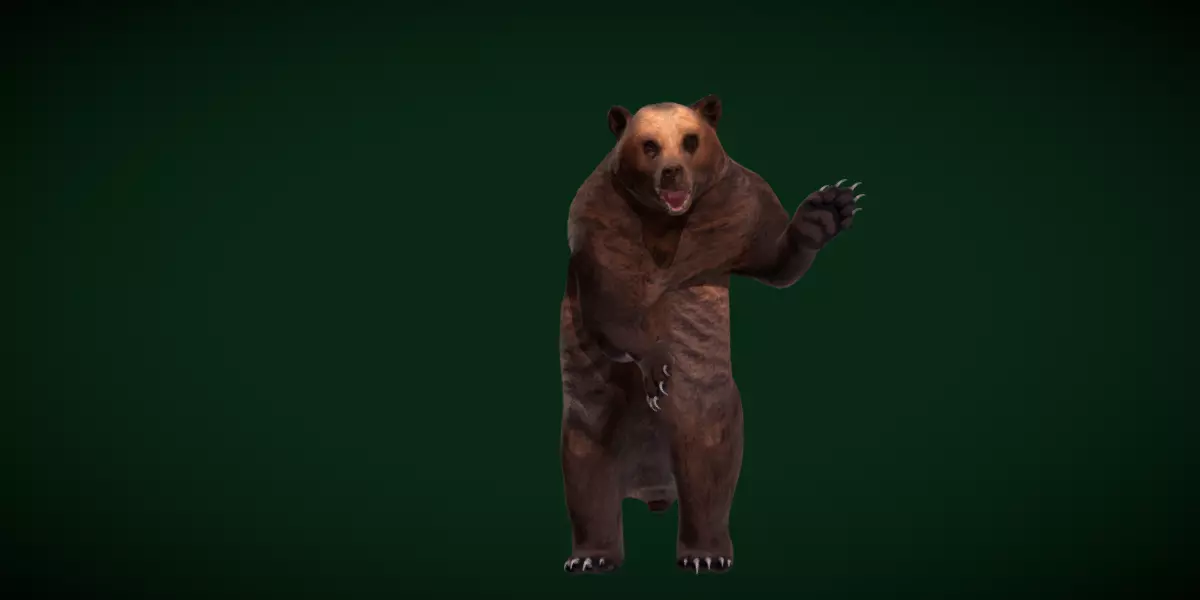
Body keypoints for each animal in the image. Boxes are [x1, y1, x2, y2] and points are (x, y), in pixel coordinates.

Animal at [559, 95, 864, 574]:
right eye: (649, 145)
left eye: (690, 139)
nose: (672, 172)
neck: (666, 221)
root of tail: (651, 483)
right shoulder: (600, 223)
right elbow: (610, 306)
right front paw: (657, 366)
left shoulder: (737, 209)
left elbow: (774, 259)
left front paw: (829, 207)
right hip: (594, 408)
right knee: (586, 467)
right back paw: (591, 557)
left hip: (704, 406)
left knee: (707, 464)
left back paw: (705, 553)